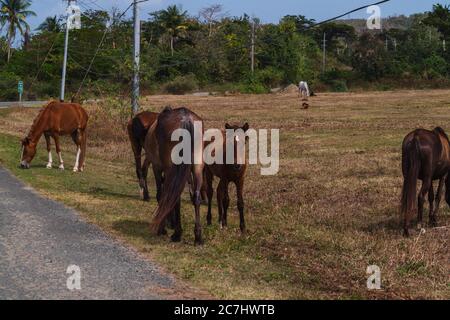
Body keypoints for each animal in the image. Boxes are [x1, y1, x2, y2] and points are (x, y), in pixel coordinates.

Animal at [143, 106, 205, 244]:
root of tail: (186, 119)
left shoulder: (157, 167)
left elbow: (161, 195)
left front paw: (162, 228)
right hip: (197, 167)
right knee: (196, 197)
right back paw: (198, 236)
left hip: (170, 169)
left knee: (174, 197)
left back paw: (177, 233)